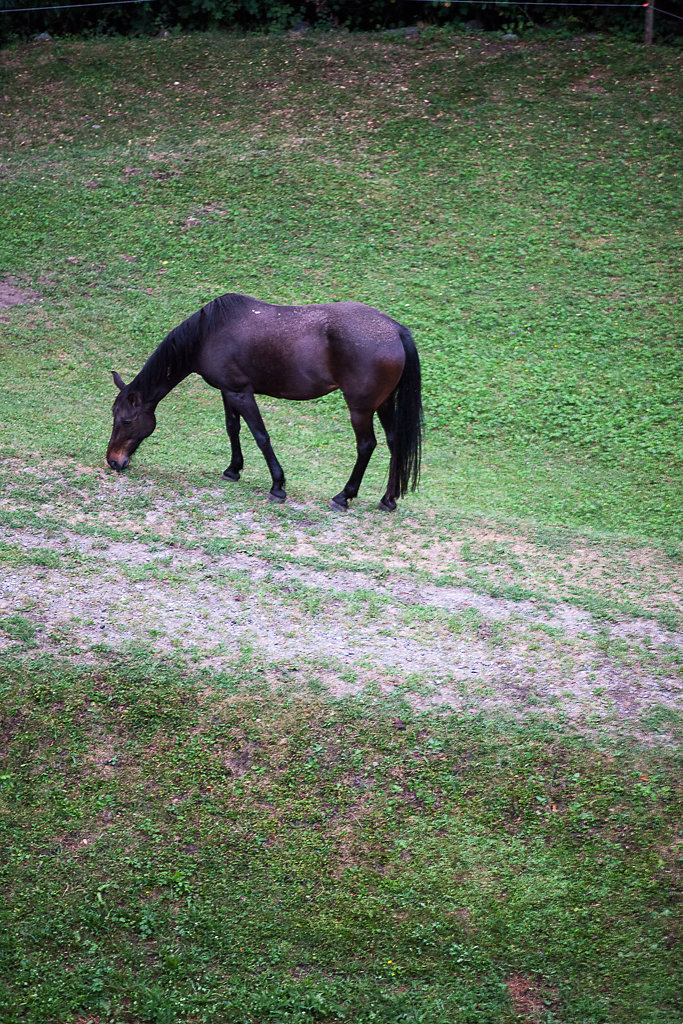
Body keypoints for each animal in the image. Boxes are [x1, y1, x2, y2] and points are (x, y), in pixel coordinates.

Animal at [105, 292, 421, 507]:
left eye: (126, 420)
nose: (113, 461)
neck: (209, 333)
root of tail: (395, 329)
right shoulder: (227, 391)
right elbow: (232, 428)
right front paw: (233, 470)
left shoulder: (241, 393)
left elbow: (260, 436)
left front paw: (278, 486)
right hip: (384, 403)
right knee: (394, 442)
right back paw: (388, 499)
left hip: (361, 408)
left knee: (366, 445)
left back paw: (343, 496)